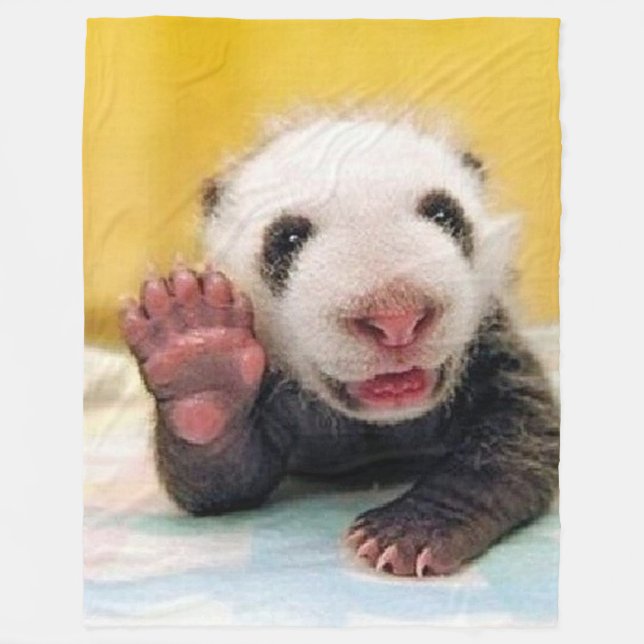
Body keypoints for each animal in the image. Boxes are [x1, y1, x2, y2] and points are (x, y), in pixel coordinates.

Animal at [120, 110, 559, 577]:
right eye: (287, 240)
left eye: (444, 214)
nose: (396, 319)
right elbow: (226, 479)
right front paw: (200, 358)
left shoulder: (490, 337)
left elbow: (518, 441)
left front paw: (410, 531)